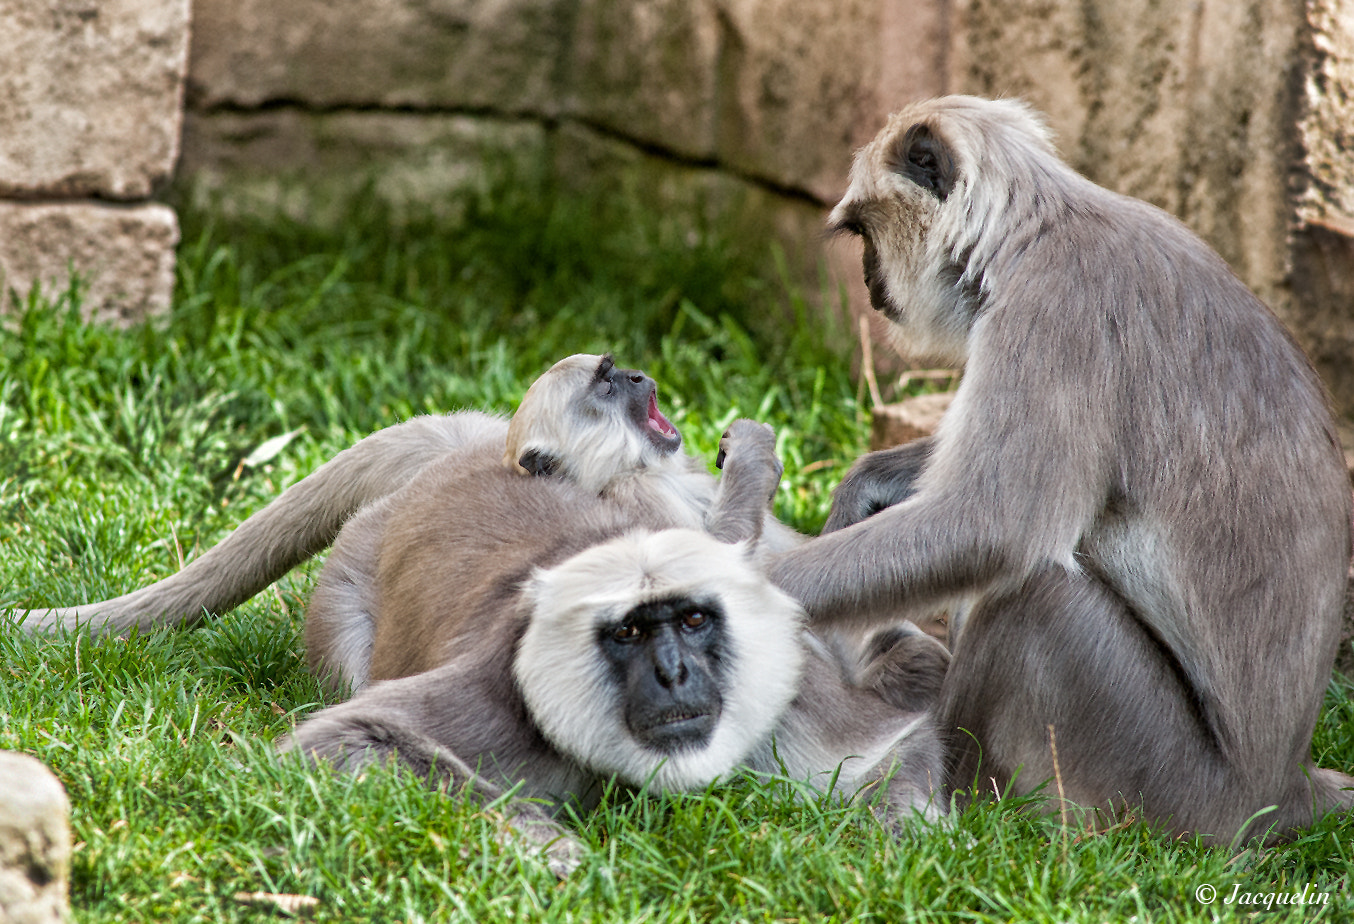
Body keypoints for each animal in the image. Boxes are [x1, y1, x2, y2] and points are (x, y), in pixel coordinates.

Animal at [769, 98, 1354, 840]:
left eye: (865, 233)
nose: (872, 282)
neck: (1039, 229)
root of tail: (1286, 791)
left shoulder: (1054, 310)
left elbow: (989, 527)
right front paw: (866, 484)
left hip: (1166, 784)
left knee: (1037, 594)